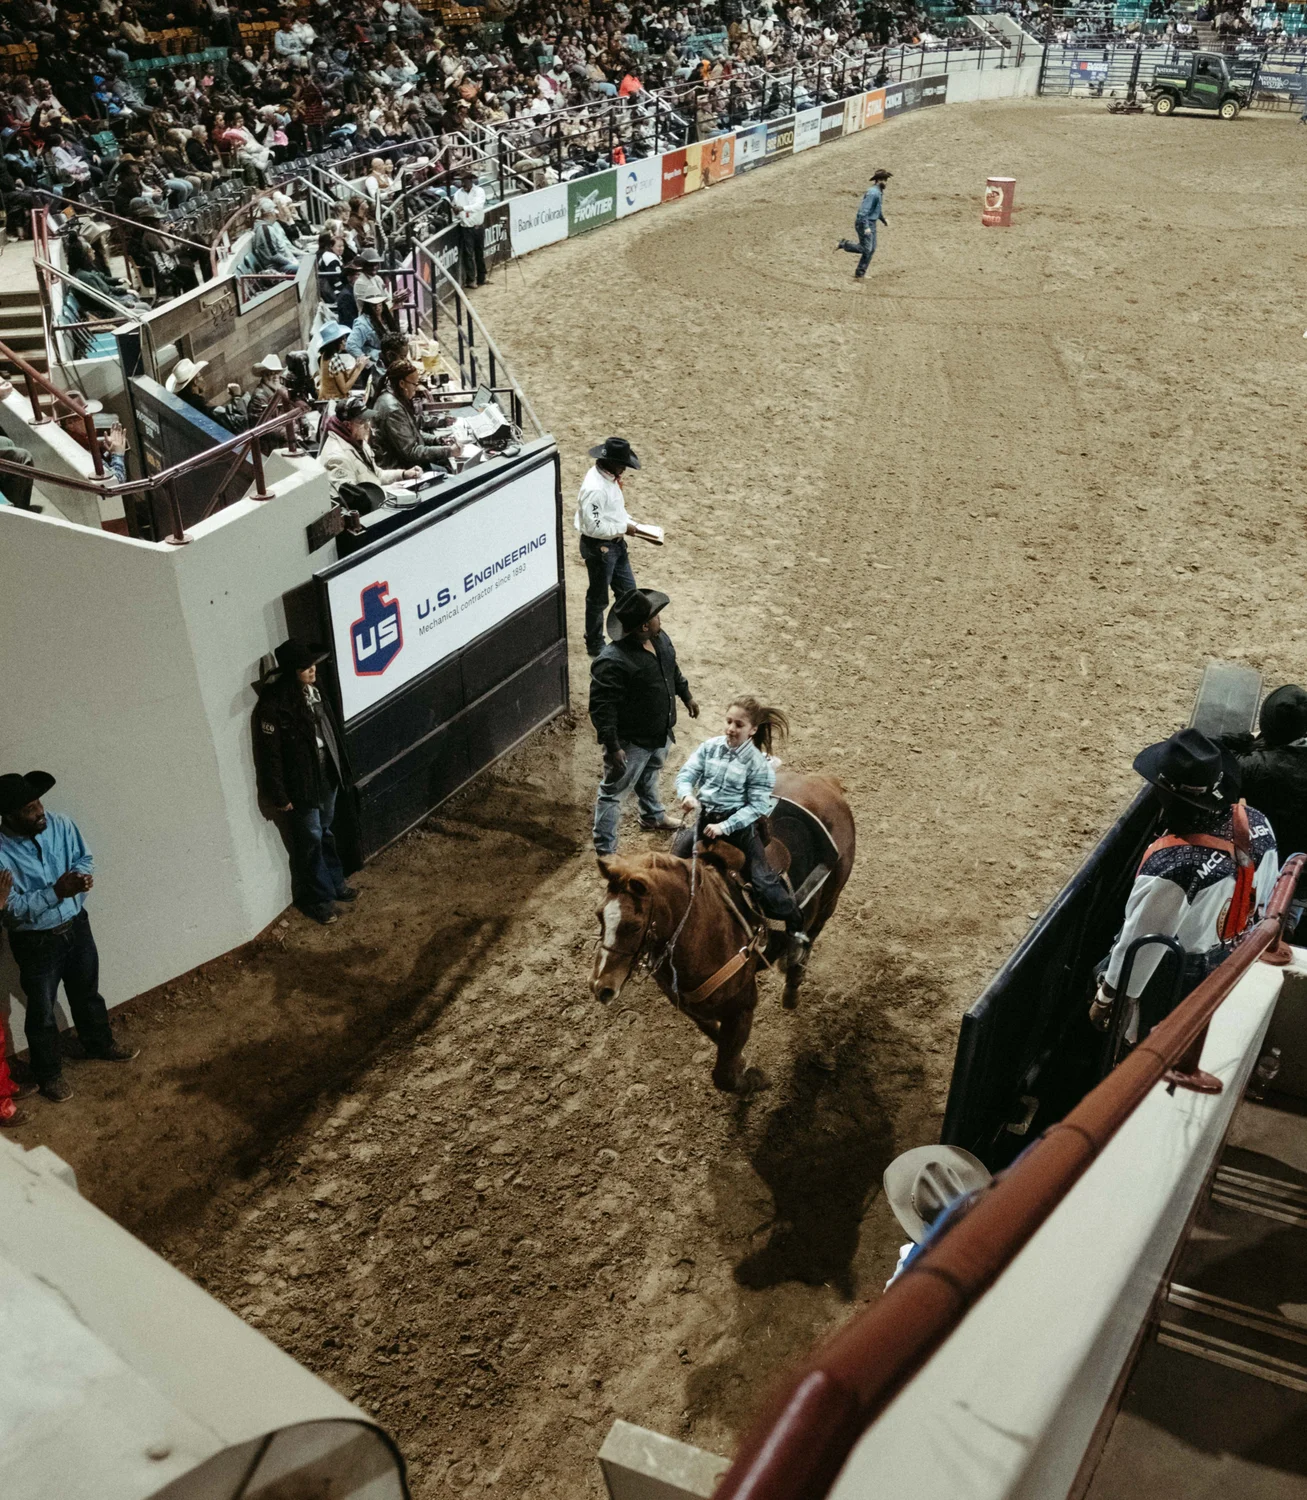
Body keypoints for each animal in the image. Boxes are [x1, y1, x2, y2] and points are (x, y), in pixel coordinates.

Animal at [588, 774, 852, 1092]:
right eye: (599, 915)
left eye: (635, 925)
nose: (600, 987)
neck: (702, 933)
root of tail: (824, 783)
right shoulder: (693, 1009)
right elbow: (720, 1044)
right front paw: (744, 1065)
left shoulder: (742, 1006)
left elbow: (723, 1074)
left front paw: (754, 1080)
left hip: (829, 901)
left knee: (808, 937)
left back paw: (792, 984)